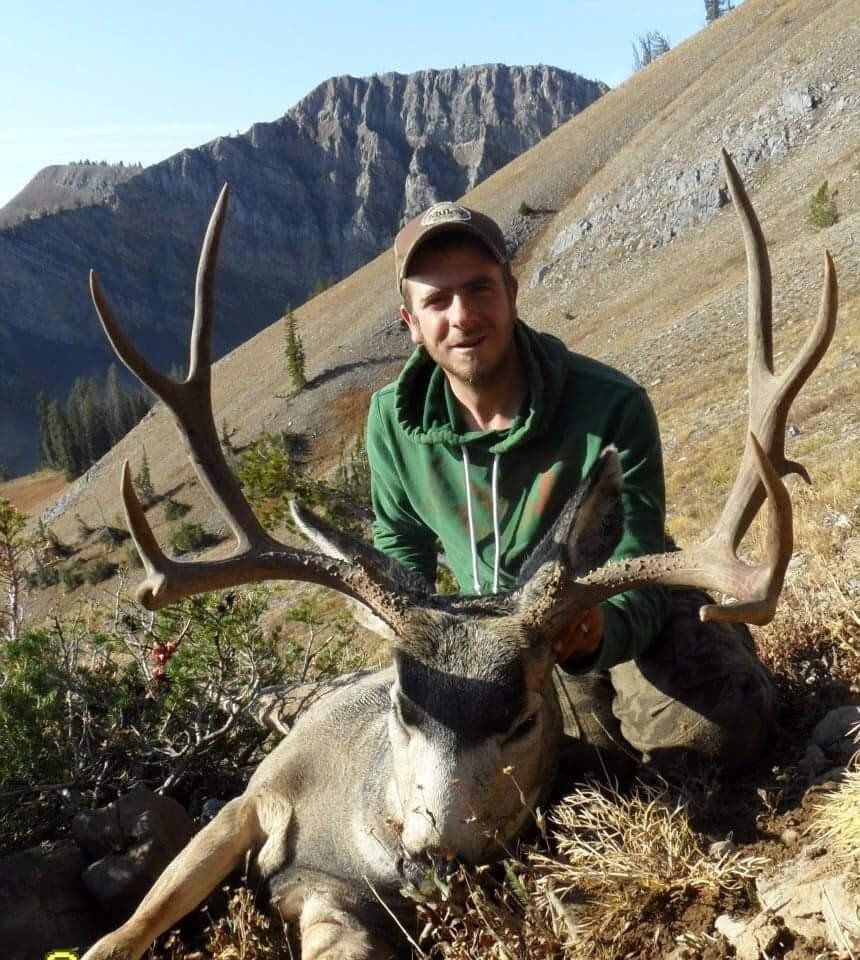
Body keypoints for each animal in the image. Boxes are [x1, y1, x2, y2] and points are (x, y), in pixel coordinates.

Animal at [82, 150, 836, 960]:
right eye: (405, 706)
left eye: (523, 720)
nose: (431, 852)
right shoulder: (257, 802)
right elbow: (123, 932)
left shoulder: (338, 893)